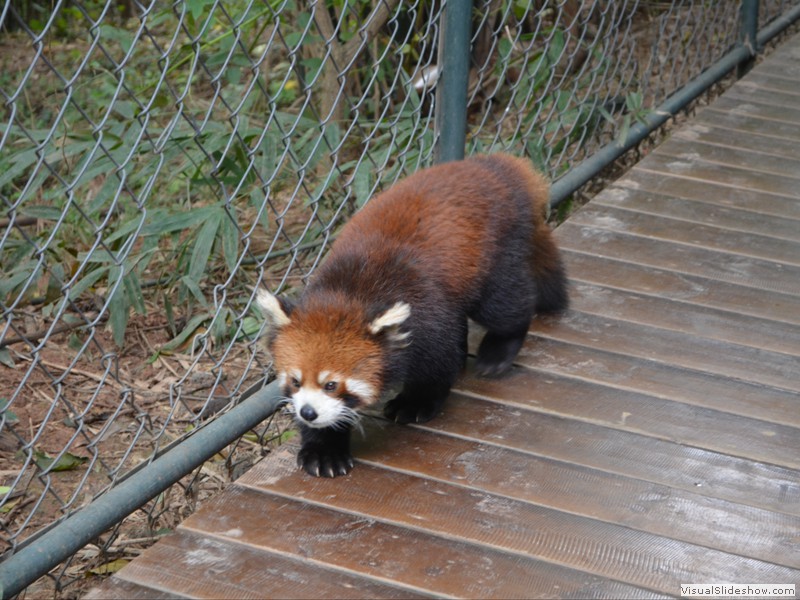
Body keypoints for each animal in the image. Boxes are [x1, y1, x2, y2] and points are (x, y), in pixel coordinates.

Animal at [260, 155, 564, 478]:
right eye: (295, 381)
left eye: (331, 384)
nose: (308, 412)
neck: (348, 292)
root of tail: (492, 165)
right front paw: (323, 449)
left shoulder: (427, 315)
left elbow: (436, 363)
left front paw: (415, 402)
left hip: (494, 253)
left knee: (505, 305)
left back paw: (498, 351)